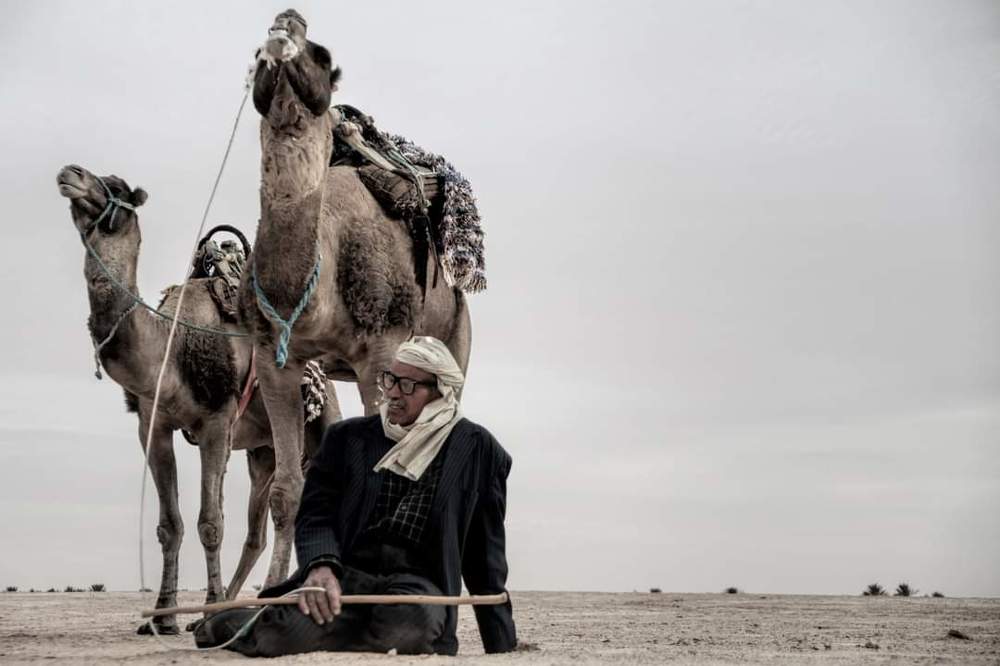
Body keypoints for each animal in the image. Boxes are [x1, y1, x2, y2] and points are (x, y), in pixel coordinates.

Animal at [56, 164, 341, 633]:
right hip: (259, 450)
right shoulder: (153, 425)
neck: (171, 347)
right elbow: (169, 525)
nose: (70, 173)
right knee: (258, 529)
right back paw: (238, 602)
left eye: (115, 187)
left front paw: (205, 611)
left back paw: (262, 603)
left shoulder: (216, 422)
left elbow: (211, 522)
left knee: (292, 501)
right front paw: (163, 617)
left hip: (318, 422)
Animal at [237, 10, 472, 580]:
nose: (285, 23)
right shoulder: (274, 358)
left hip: (456, 336)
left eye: (322, 55)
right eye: (255, 54)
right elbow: (286, 491)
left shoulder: (383, 353)